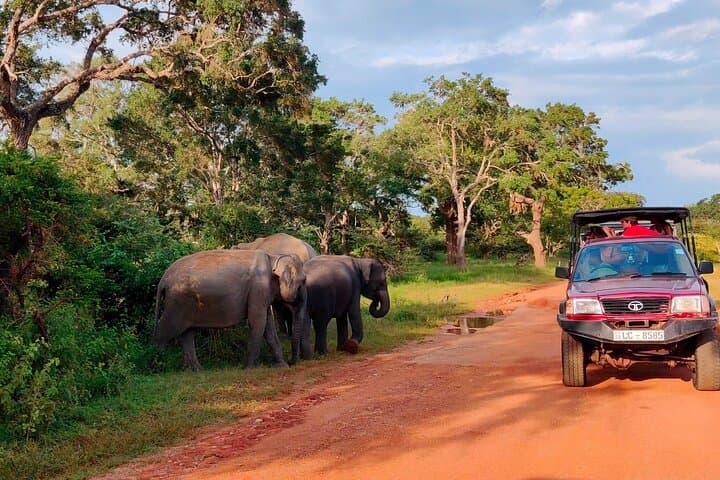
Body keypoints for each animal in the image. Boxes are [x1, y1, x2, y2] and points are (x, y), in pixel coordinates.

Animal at [152, 249, 307, 370]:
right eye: (302, 282)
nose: (292, 362)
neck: (274, 257)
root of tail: (163, 278)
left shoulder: (261, 293)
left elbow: (268, 325)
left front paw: (281, 366)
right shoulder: (258, 287)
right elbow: (258, 321)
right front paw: (252, 368)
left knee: (187, 334)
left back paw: (196, 370)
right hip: (176, 301)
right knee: (166, 329)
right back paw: (157, 362)